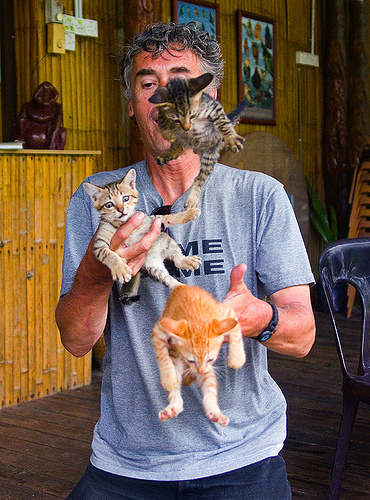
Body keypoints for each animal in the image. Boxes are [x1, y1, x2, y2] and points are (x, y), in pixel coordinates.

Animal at [83, 168, 202, 300]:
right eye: (109, 204)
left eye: (126, 198)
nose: (121, 210)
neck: (122, 224)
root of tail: (159, 255)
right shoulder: (99, 244)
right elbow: (108, 254)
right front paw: (120, 268)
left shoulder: (151, 219)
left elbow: (167, 217)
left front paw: (189, 213)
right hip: (154, 268)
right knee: (170, 279)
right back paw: (183, 288)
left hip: (166, 239)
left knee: (177, 259)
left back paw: (187, 261)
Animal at [150, 72, 249, 209]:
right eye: (177, 119)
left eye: (192, 115)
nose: (186, 128)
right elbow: (162, 118)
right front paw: (168, 131)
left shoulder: (214, 107)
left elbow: (223, 122)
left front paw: (231, 138)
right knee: (178, 146)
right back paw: (167, 154)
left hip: (209, 155)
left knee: (199, 177)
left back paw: (192, 199)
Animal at [152, 286, 247, 426]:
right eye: (191, 360)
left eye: (211, 359)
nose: (200, 370)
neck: (197, 320)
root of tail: (181, 286)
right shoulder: (159, 329)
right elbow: (162, 356)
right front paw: (168, 379)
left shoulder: (225, 314)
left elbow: (235, 331)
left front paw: (237, 358)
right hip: (177, 359)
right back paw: (172, 408)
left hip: (208, 373)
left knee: (210, 390)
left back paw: (216, 414)